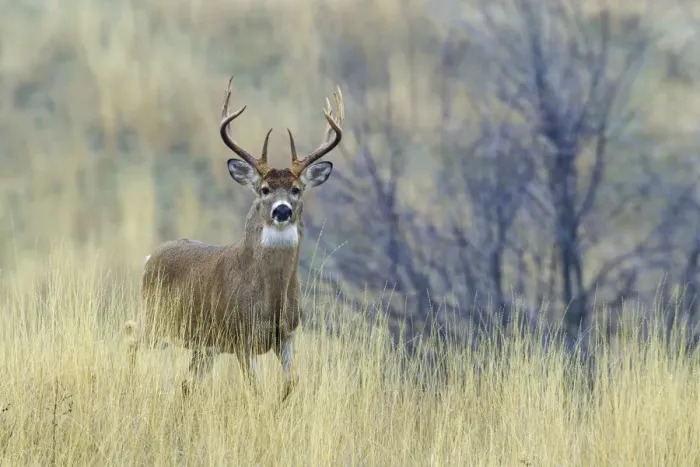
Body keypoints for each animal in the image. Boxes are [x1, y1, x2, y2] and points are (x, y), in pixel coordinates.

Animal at [124, 76, 344, 401]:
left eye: (297, 189)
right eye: (264, 189)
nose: (282, 210)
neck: (271, 298)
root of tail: (150, 257)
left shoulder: (287, 336)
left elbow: (292, 382)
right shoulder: (241, 337)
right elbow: (256, 389)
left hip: (203, 344)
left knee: (187, 382)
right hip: (159, 320)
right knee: (130, 333)